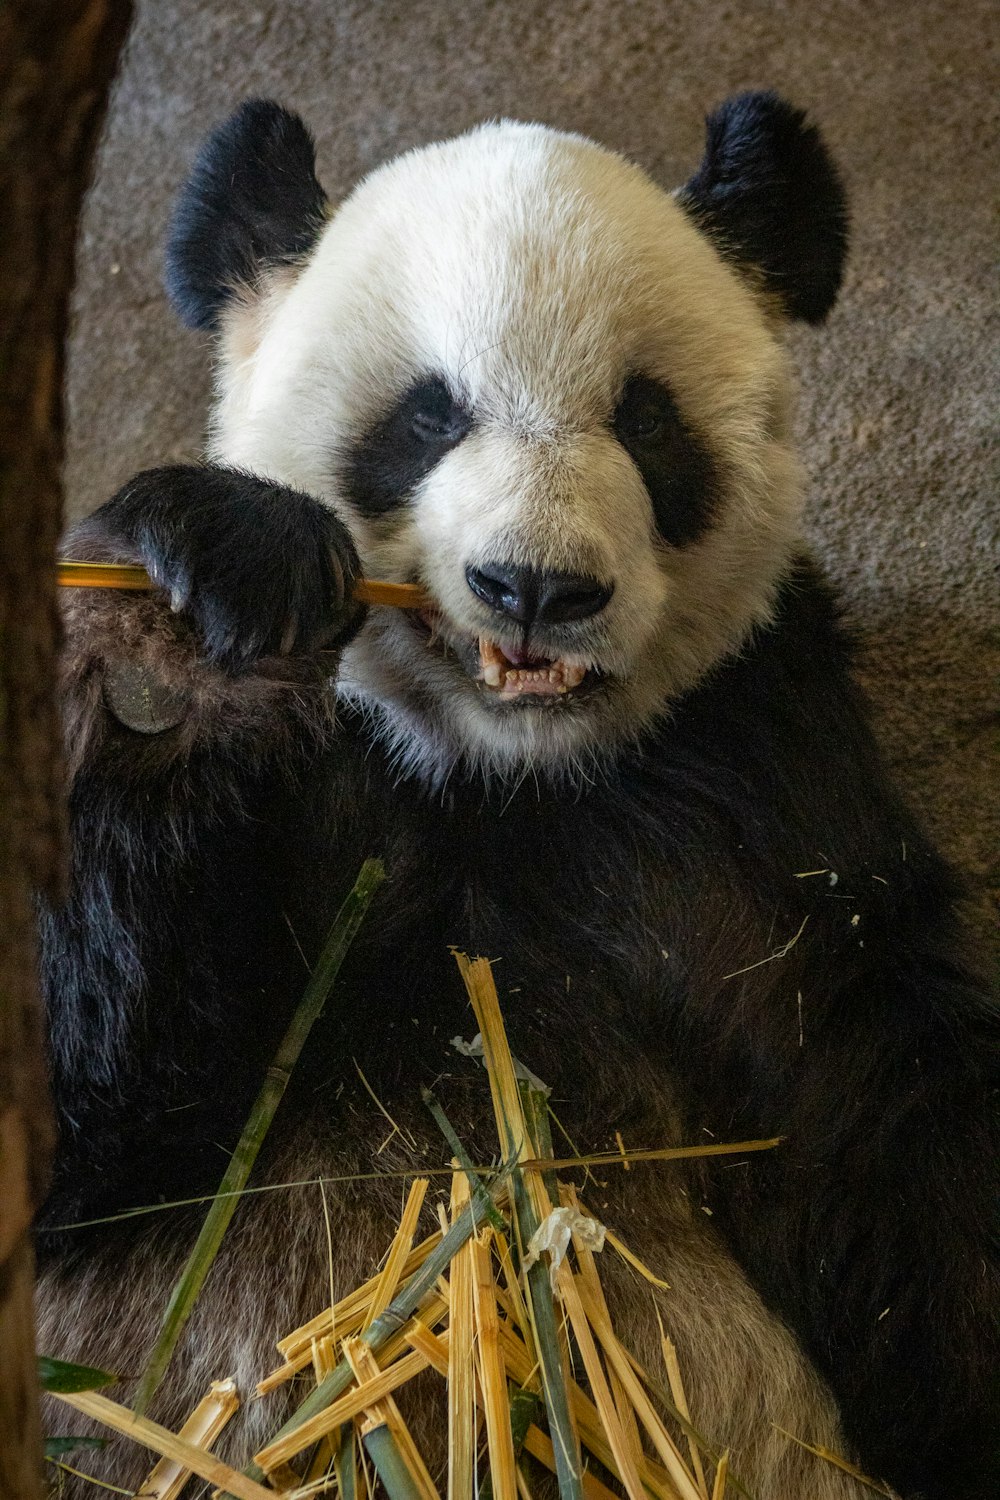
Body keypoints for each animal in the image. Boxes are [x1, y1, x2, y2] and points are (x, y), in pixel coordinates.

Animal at [35, 90, 995, 1500]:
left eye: (645, 420)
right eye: (427, 418)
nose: (535, 588)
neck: (501, 775)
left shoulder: (761, 776)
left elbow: (888, 1128)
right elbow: (97, 1131)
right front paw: (193, 620)